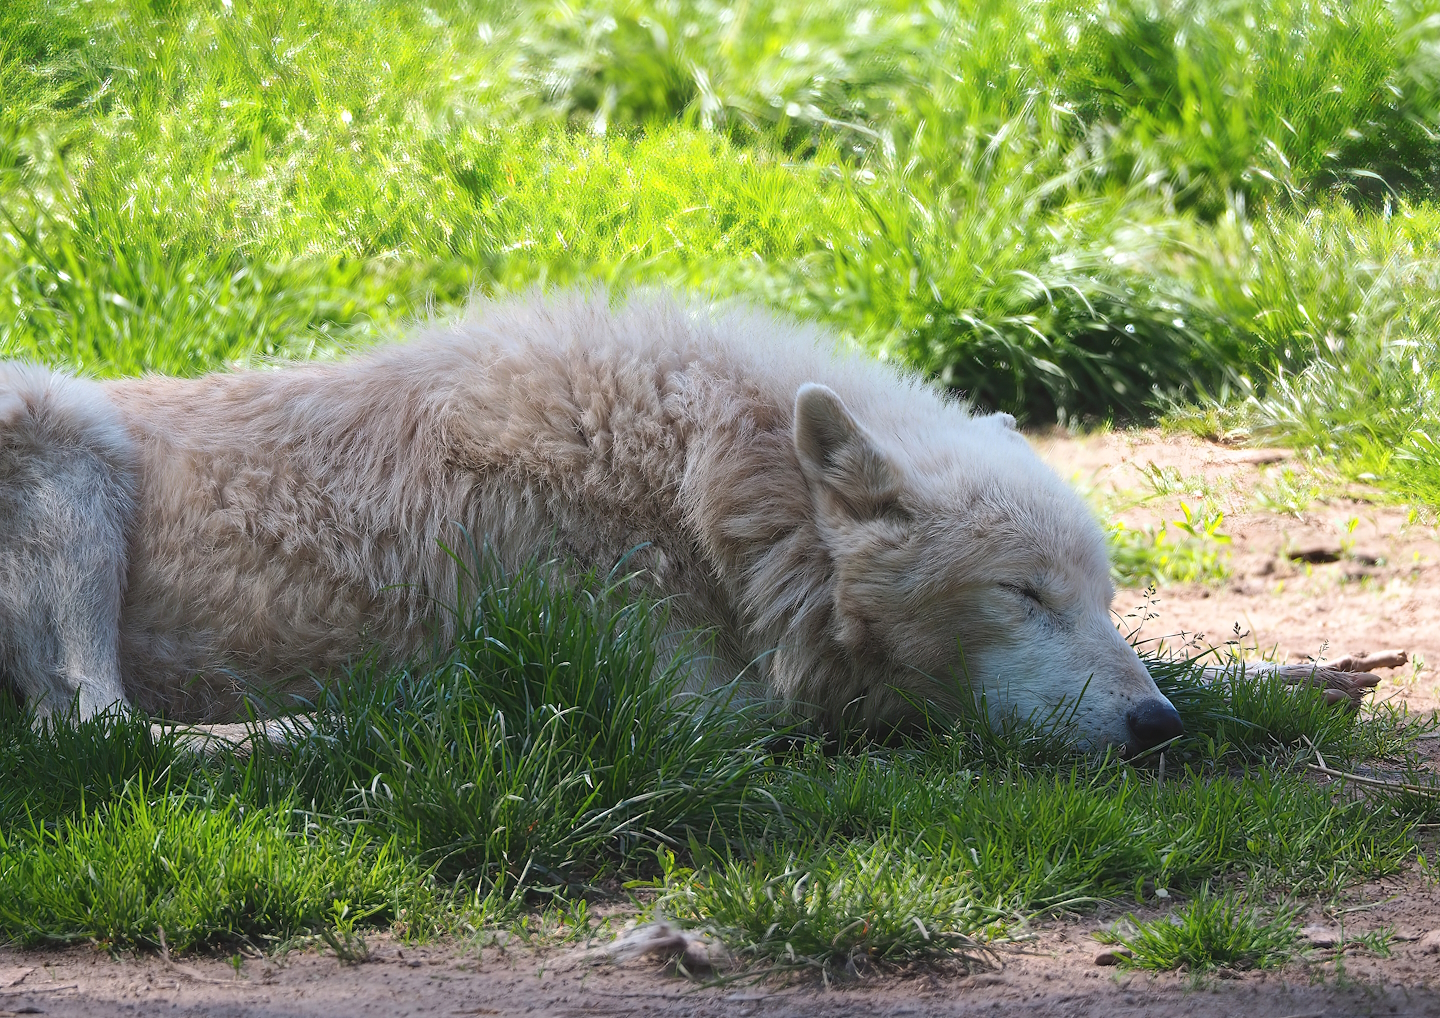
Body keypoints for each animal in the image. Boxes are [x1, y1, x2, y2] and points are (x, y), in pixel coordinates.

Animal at [0, 291, 1376, 753]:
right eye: (1018, 596)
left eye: (1097, 599)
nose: (1154, 730)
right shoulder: (685, 703)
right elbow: (841, 713)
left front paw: (1299, 677)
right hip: (70, 440)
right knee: (95, 729)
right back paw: (373, 722)